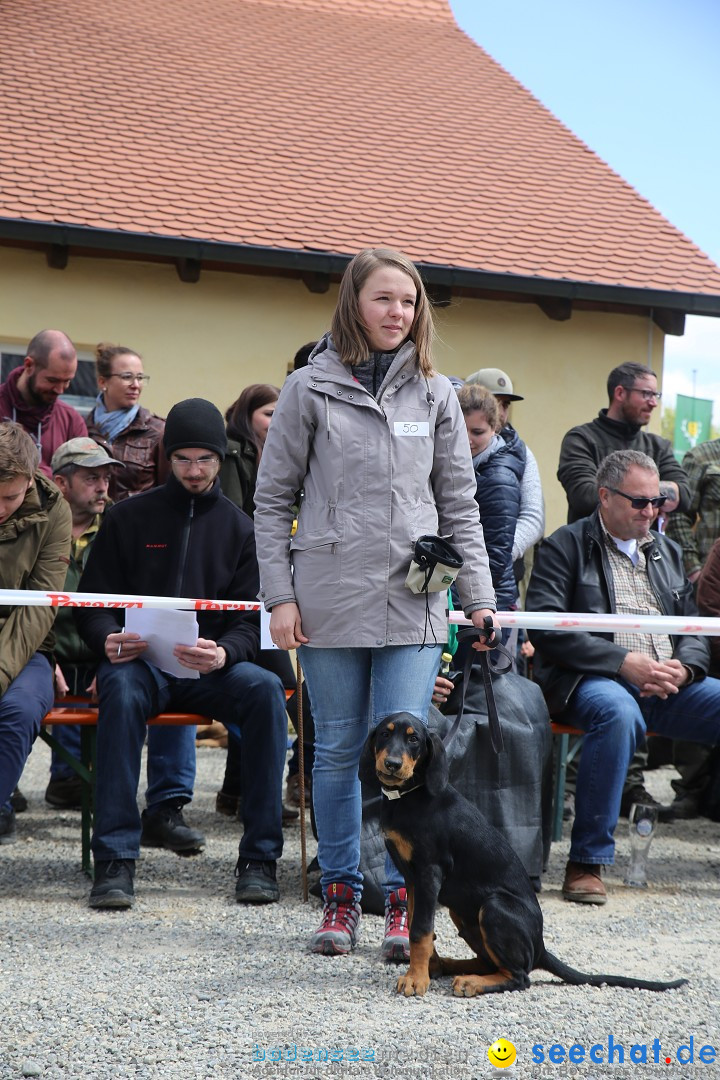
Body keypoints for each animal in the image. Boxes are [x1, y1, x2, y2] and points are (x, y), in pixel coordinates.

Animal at [360, 712, 686, 997]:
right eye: (385, 734)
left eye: (414, 739)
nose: (391, 764)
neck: (409, 796)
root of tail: (540, 946)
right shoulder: (412, 876)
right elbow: (418, 923)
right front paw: (427, 969)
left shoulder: (429, 871)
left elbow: (421, 931)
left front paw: (416, 979)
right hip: (462, 912)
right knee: (496, 964)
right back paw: (454, 968)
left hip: (493, 907)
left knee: (521, 976)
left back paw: (472, 982)